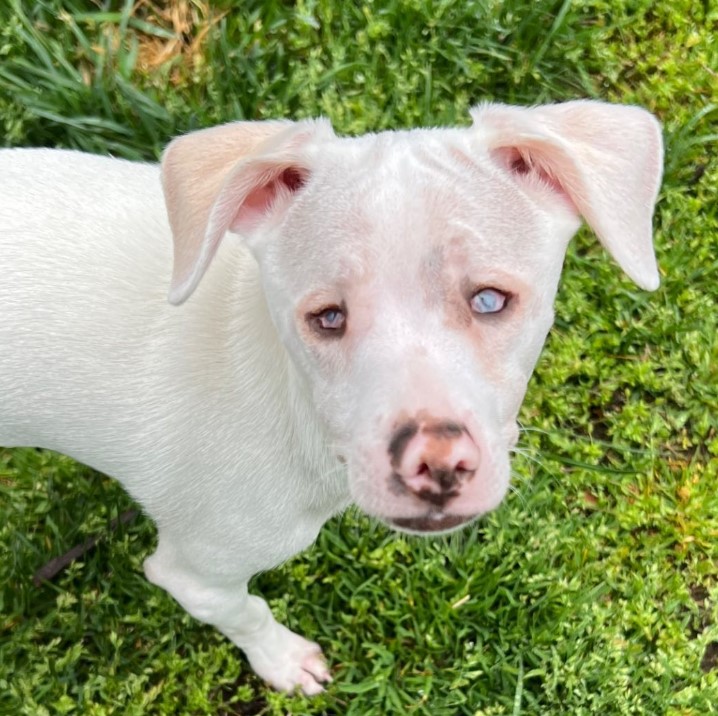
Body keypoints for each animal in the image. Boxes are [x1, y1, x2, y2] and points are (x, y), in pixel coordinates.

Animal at [0, 102, 664, 692]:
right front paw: (284, 662)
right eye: (327, 318)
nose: (436, 465)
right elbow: (246, 611)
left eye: (489, 300)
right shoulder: (195, 571)